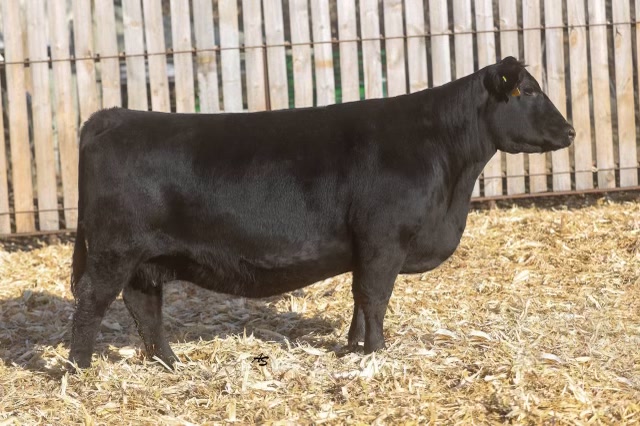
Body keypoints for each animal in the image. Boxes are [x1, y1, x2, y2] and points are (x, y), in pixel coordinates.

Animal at [69, 57, 575, 369]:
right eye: (529, 91)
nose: (569, 131)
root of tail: (112, 116)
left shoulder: (366, 249)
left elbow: (359, 299)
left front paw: (352, 348)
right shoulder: (383, 241)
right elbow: (375, 297)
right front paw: (376, 353)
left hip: (146, 259)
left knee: (143, 305)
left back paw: (170, 363)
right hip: (116, 249)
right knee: (93, 298)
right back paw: (79, 369)